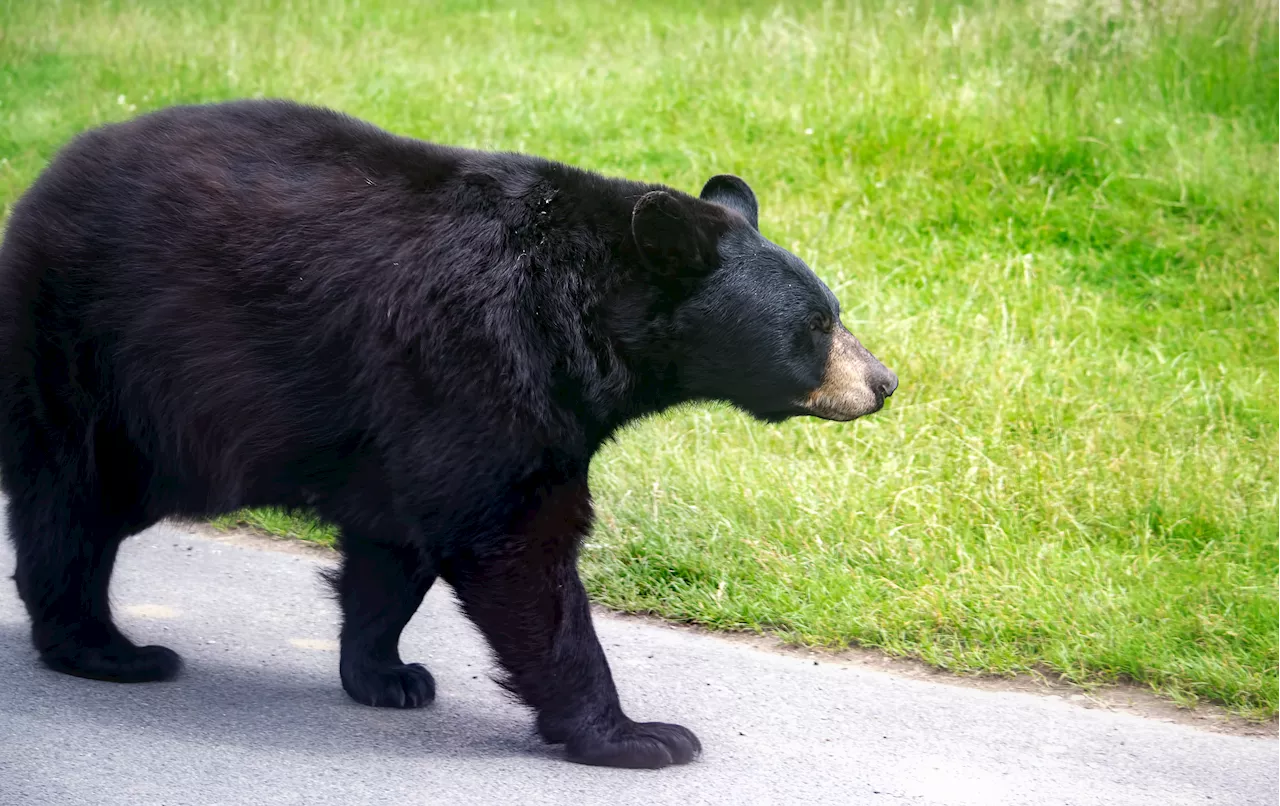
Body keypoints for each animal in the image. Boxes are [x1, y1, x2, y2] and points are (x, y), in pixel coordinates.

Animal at [0, 99, 896, 772]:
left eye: (834, 312)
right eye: (816, 326)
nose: (883, 382)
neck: (584, 318)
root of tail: (41, 182)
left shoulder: (427, 416)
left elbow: (393, 547)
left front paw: (386, 672)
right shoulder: (478, 362)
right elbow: (516, 545)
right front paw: (639, 735)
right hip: (97, 358)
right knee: (72, 504)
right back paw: (108, 649)